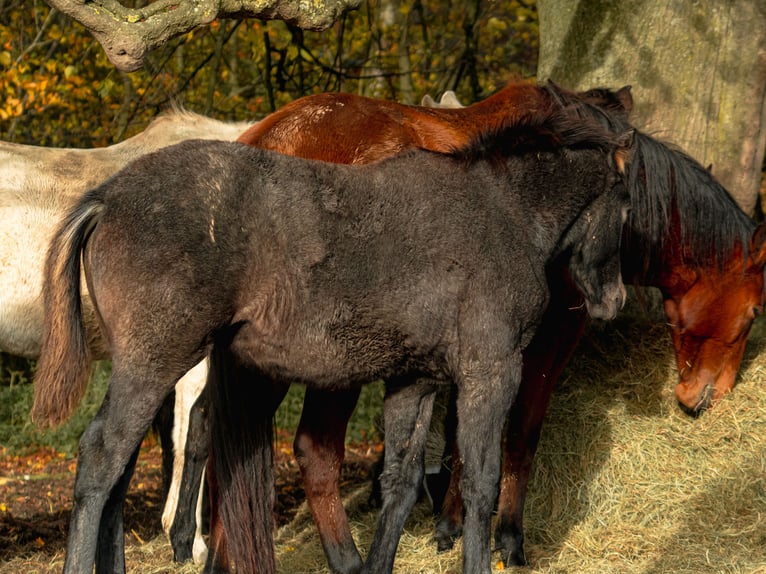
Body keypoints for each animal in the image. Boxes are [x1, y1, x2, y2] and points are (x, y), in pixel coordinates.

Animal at [31, 98, 632, 574]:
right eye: (627, 206)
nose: (613, 301)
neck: (501, 210)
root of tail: (106, 198)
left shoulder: (416, 379)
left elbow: (400, 482)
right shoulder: (492, 371)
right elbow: (481, 484)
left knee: (119, 469)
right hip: (156, 361)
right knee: (102, 460)